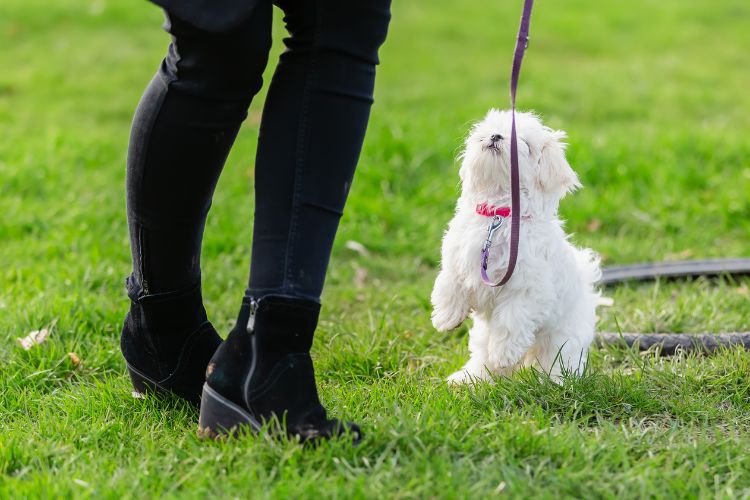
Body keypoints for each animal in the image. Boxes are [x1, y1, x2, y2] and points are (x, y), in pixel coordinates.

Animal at [432, 108, 604, 382]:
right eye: (488, 129)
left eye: (523, 143)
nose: (495, 136)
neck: (500, 215)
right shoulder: (459, 257)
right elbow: (449, 282)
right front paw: (445, 317)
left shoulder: (527, 287)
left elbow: (511, 319)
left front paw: (504, 353)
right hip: (483, 334)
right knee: (482, 356)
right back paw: (469, 379)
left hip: (562, 338)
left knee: (558, 360)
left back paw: (553, 382)